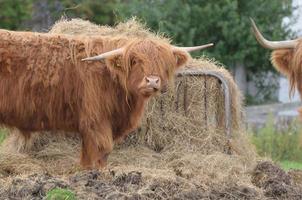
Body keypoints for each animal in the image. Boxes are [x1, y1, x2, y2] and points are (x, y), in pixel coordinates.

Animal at [0, 28, 212, 169]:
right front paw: (96, 175)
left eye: (162, 62)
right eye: (135, 61)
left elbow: (91, 154)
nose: (152, 81)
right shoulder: (96, 121)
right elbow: (101, 150)